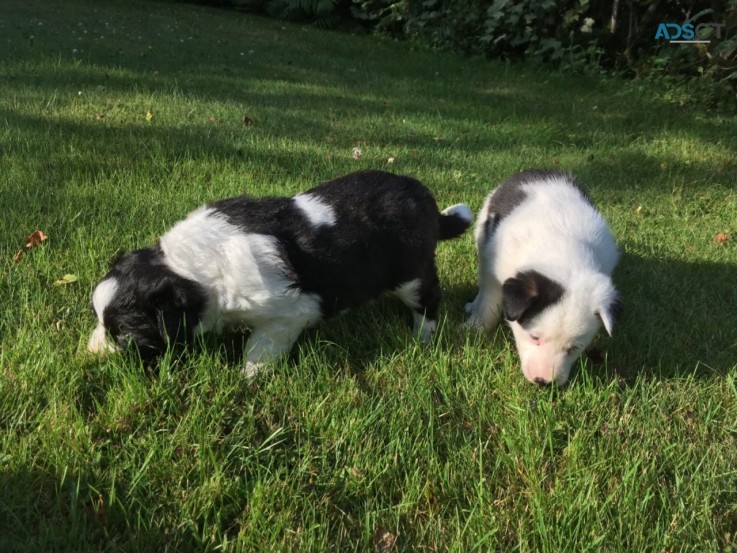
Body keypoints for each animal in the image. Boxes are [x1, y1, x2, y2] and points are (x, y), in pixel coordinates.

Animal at [87, 169, 472, 376]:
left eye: (126, 336)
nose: (91, 354)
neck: (184, 267)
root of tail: (427, 202)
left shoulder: (288, 313)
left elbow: (261, 349)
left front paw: (248, 377)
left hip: (412, 274)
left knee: (428, 301)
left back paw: (421, 337)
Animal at [462, 170, 620, 386]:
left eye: (573, 348)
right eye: (534, 337)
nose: (543, 382)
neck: (562, 251)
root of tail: (538, 170)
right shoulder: (492, 271)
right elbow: (488, 304)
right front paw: (474, 329)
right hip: (482, 229)